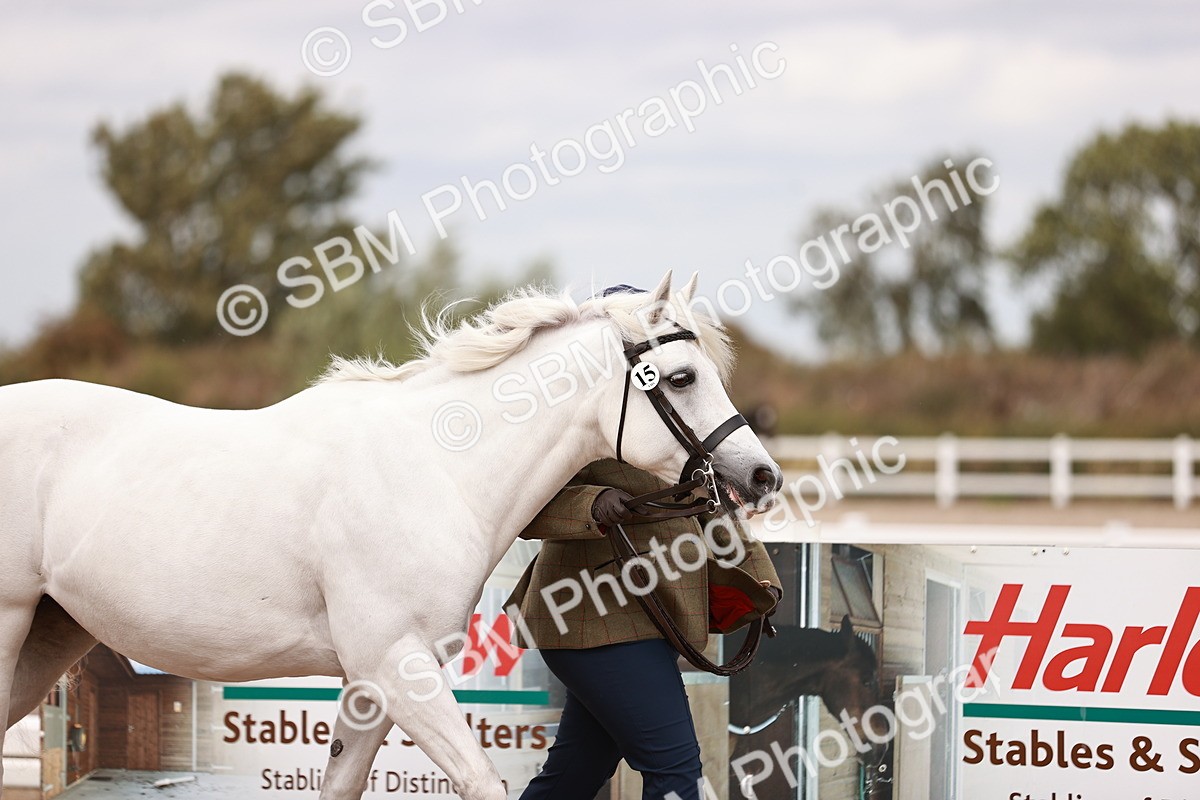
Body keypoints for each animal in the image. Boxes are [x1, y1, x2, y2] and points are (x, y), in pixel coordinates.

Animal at [0, 272, 783, 800]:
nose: (763, 476)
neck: (436, 467)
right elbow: (483, 782)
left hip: (53, 633)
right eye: (680, 378)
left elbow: (342, 784)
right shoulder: (397, 666)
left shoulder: (372, 682)